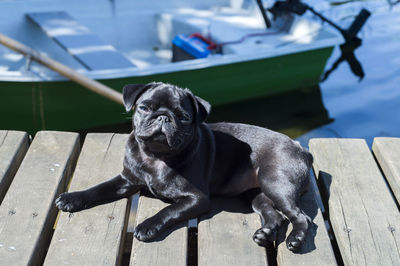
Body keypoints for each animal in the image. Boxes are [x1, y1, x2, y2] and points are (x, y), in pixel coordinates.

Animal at [55, 81, 312, 251]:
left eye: (184, 117)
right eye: (144, 108)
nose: (163, 116)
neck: (155, 157)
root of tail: (300, 148)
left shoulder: (196, 198)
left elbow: (168, 211)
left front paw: (148, 226)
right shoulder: (127, 180)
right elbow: (99, 188)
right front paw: (72, 198)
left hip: (275, 181)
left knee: (301, 217)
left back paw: (295, 240)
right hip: (255, 194)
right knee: (273, 214)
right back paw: (265, 233)